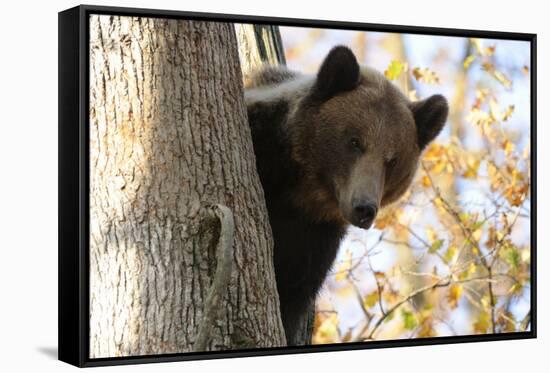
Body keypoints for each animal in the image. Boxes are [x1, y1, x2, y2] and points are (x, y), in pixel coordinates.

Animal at [245, 45, 448, 344]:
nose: (364, 208)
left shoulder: (314, 240)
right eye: (354, 142)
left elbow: (291, 295)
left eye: (392, 160)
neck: (301, 192)